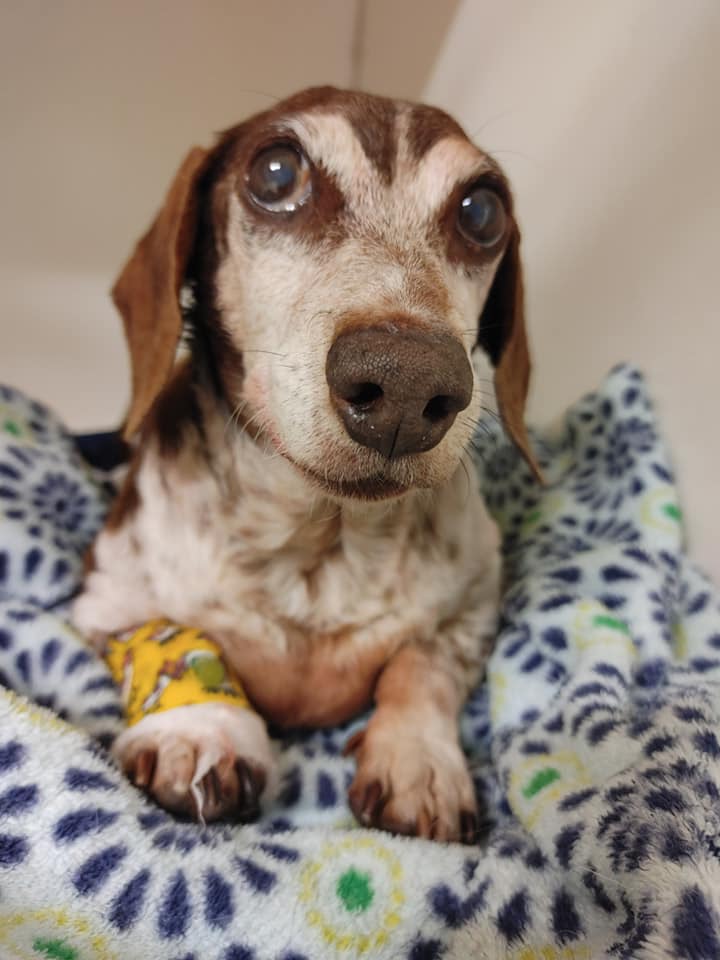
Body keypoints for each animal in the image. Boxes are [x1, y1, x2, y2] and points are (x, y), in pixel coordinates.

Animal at [72, 86, 539, 844]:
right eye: (276, 173)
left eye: (481, 210)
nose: (408, 384)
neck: (323, 542)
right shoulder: (104, 602)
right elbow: (178, 631)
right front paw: (202, 728)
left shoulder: (475, 604)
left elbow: (421, 665)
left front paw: (419, 759)